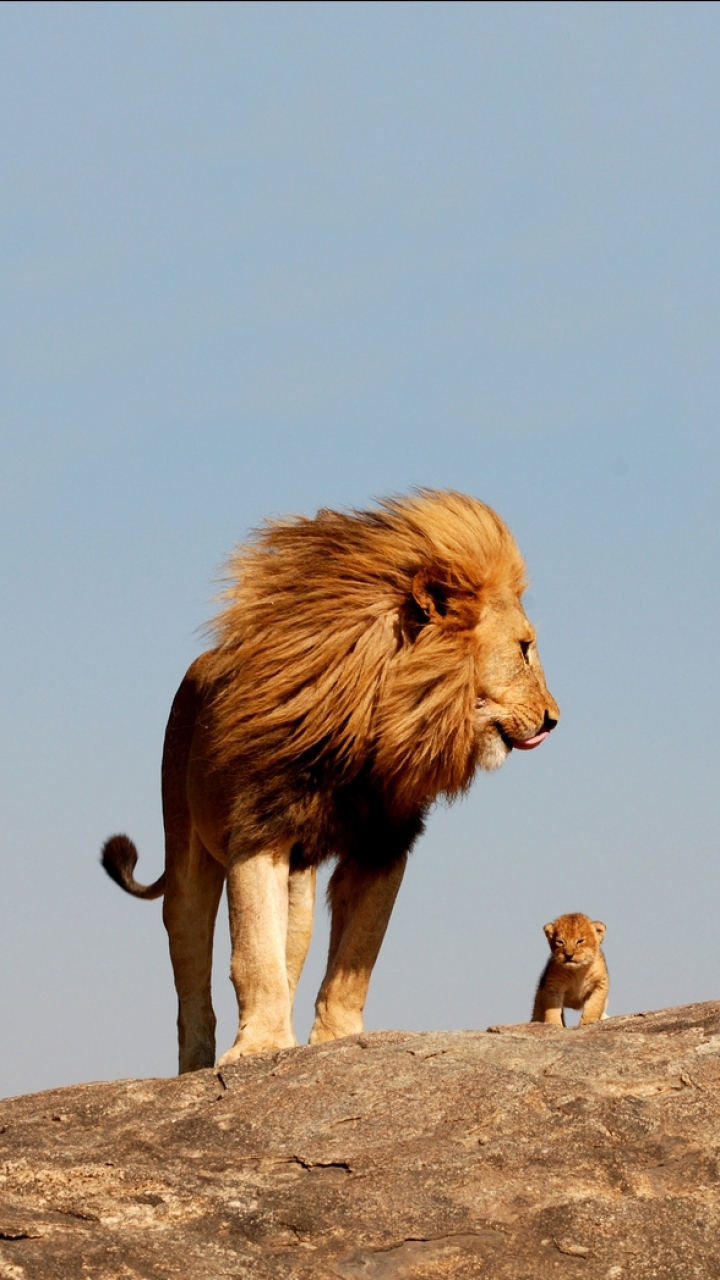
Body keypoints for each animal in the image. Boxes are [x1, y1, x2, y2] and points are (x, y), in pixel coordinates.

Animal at [103, 488, 558, 1070]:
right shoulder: (258, 831)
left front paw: (335, 1040)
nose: (553, 719)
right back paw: (197, 1066)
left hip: (300, 886)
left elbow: (356, 955)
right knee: (191, 971)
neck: (374, 723)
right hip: (186, 852)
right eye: (524, 648)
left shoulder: (384, 843)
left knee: (291, 949)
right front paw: (259, 1047)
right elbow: (253, 953)